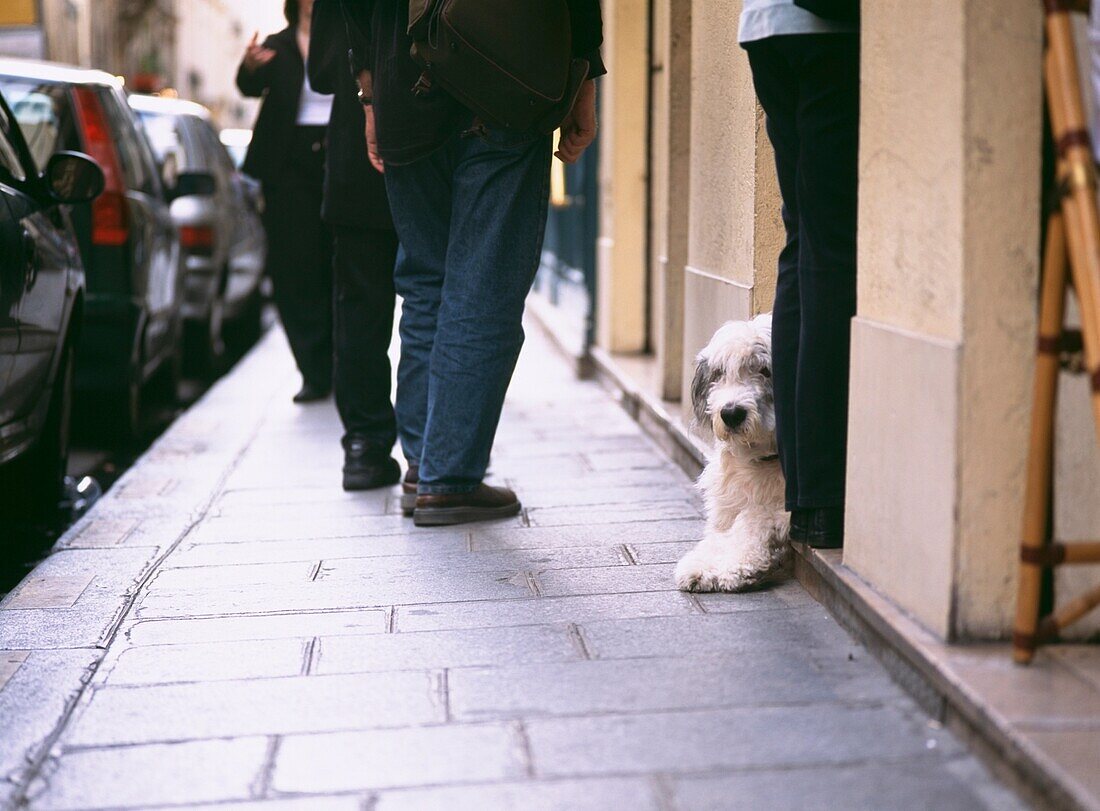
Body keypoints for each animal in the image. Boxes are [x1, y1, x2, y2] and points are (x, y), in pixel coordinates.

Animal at [668, 312, 792, 589]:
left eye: (765, 370)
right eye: (720, 373)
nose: (731, 413)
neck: (762, 459)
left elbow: (752, 519)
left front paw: (738, 567)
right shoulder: (727, 506)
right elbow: (718, 537)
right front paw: (702, 565)